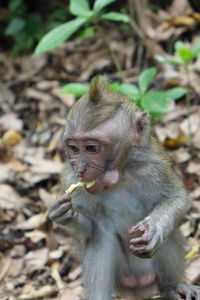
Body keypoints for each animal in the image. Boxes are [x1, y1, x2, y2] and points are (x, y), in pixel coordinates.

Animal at [49, 75, 199, 300]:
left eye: (91, 148)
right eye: (74, 148)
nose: (80, 169)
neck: (119, 174)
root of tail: (139, 285)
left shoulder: (153, 165)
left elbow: (177, 198)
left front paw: (154, 226)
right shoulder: (69, 178)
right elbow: (90, 231)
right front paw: (63, 214)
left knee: (168, 235)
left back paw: (172, 286)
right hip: (122, 278)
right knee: (102, 238)